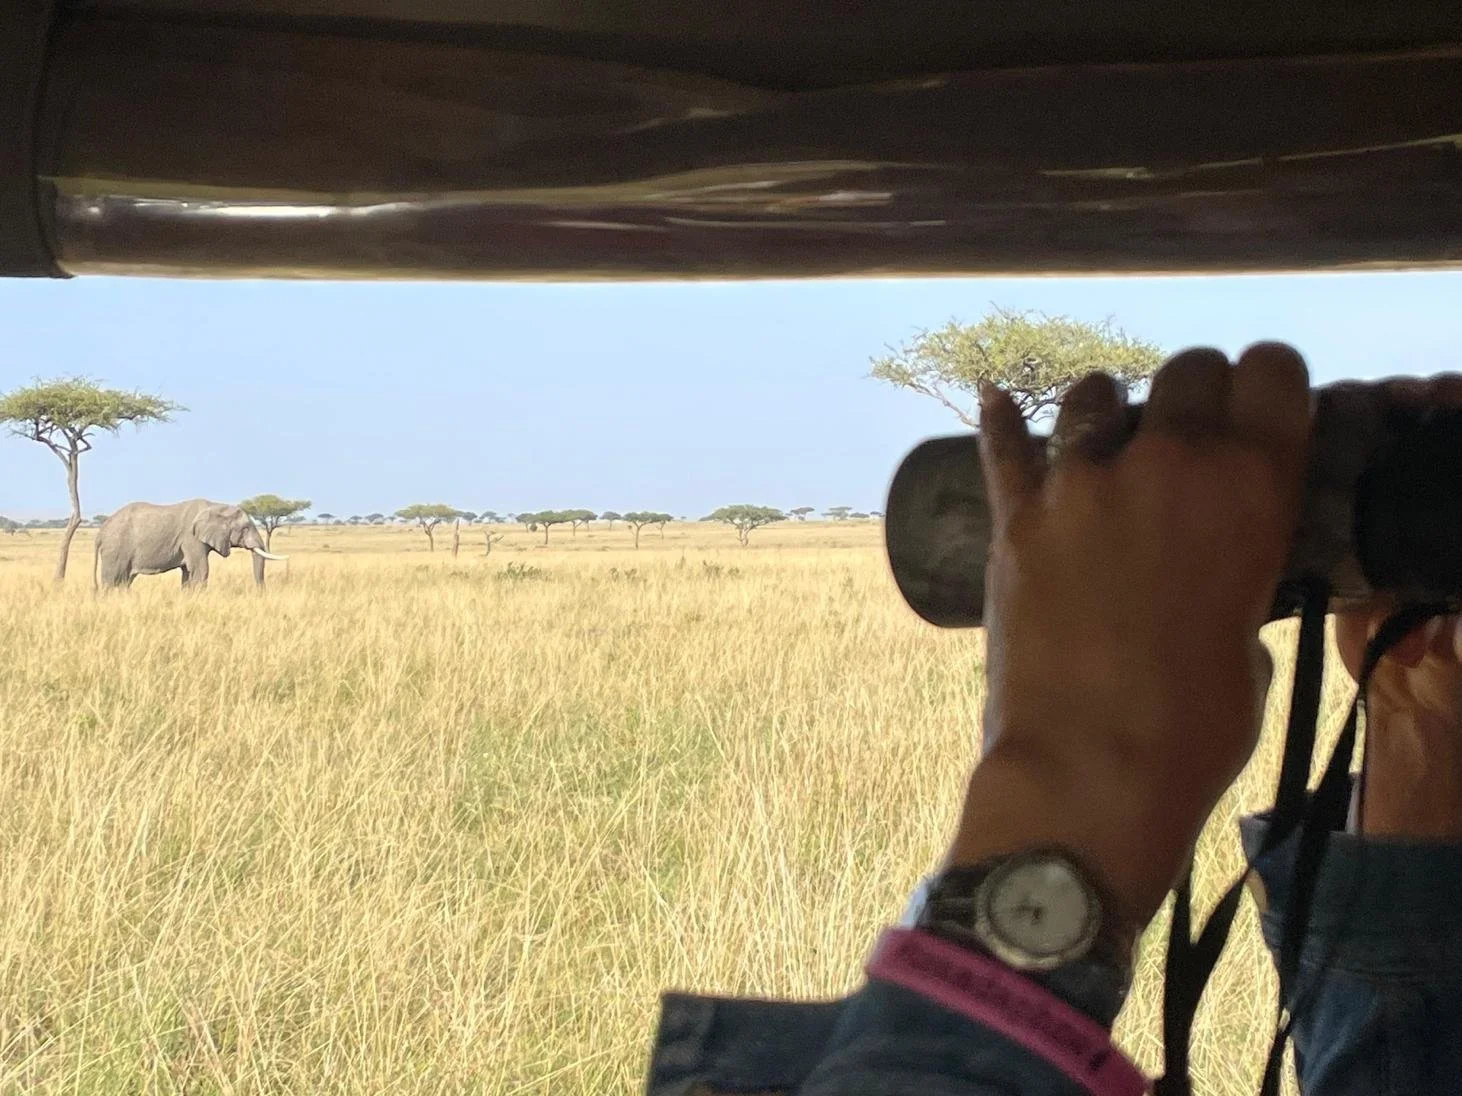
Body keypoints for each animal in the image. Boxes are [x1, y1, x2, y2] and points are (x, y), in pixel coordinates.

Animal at [94, 499, 286, 589]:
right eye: (245, 528)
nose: (260, 593)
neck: (215, 505)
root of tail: (101, 531)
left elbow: (188, 573)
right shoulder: (191, 538)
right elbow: (201, 570)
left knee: (124, 581)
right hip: (115, 549)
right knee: (112, 580)